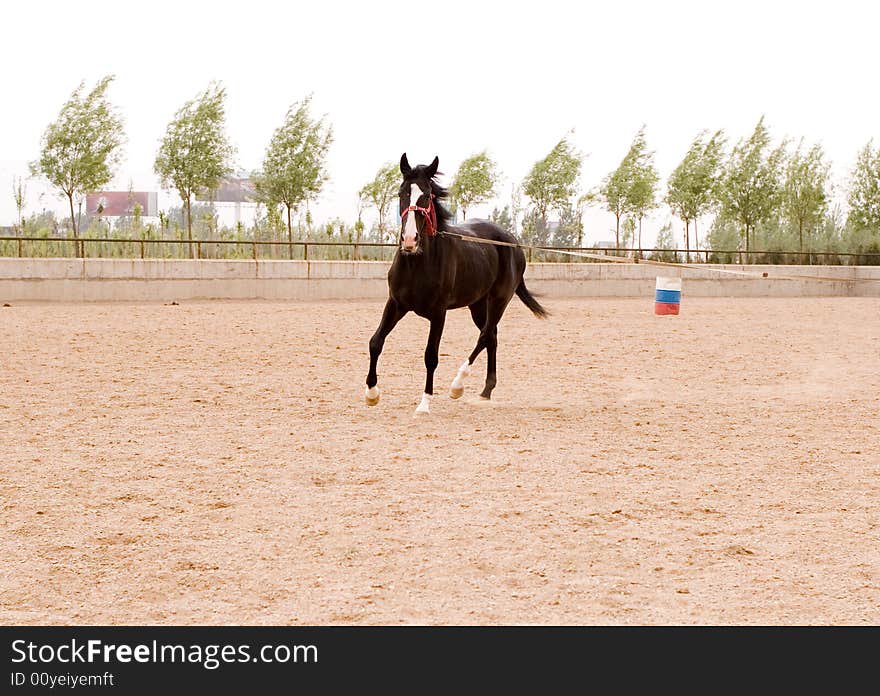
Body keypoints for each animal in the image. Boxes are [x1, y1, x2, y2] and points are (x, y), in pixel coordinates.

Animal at [362, 154, 544, 414]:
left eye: (427, 195)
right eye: (402, 193)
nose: (409, 240)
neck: (417, 264)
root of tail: (514, 243)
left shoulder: (439, 314)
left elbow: (431, 356)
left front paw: (424, 404)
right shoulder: (396, 304)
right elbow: (375, 342)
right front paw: (372, 394)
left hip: (499, 300)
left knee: (485, 336)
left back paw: (457, 386)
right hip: (477, 304)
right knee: (491, 336)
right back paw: (486, 391)